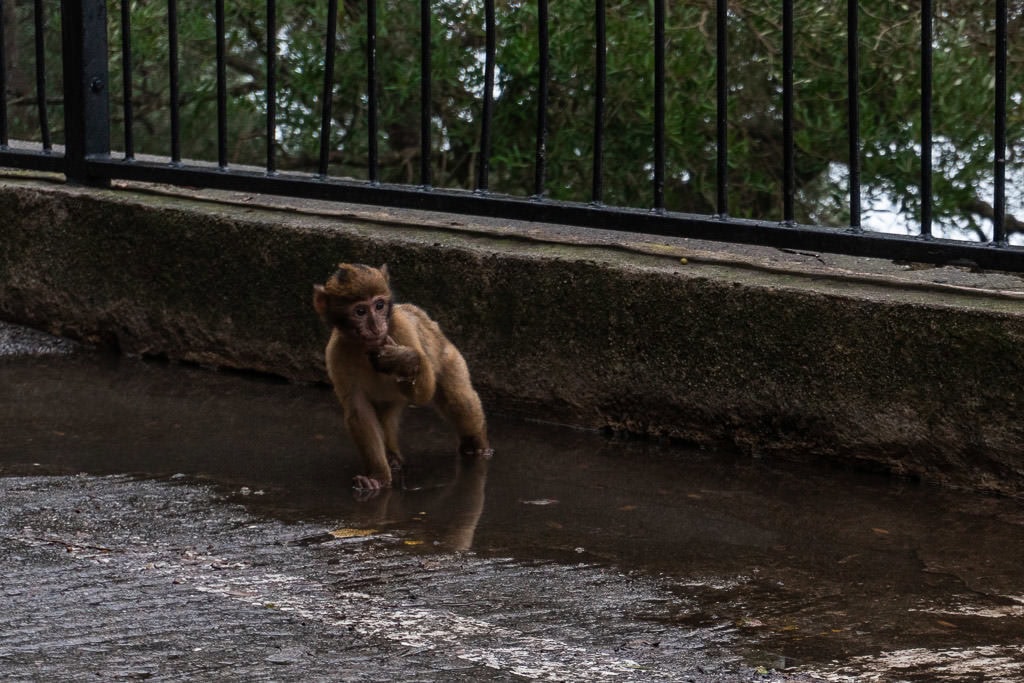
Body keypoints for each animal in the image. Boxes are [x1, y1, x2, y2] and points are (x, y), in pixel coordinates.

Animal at [311, 264, 491, 491]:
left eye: (379, 306)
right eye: (360, 311)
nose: (376, 326)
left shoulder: (402, 328)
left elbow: (424, 393)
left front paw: (403, 360)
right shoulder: (336, 353)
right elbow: (360, 411)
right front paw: (378, 476)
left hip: (449, 356)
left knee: (458, 400)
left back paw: (478, 444)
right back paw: (392, 458)